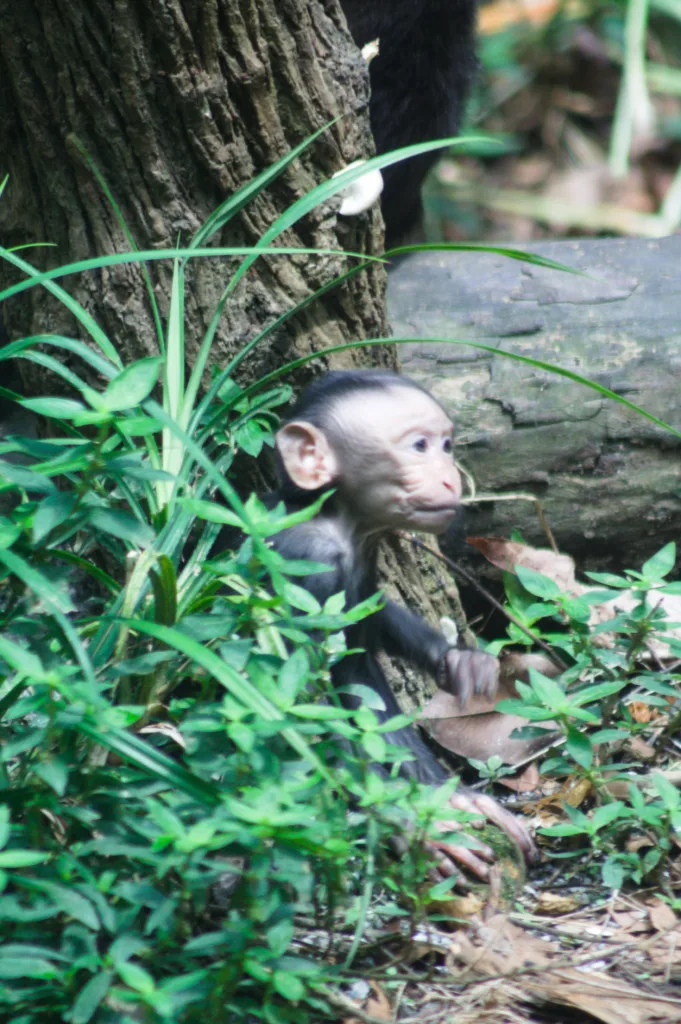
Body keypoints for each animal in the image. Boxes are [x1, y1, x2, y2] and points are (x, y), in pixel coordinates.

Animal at [270, 370, 537, 875]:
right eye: (419, 446)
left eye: (446, 445)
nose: (451, 477)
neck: (336, 518)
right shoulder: (309, 569)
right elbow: (300, 707)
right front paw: (412, 822)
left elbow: (366, 640)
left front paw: (459, 663)